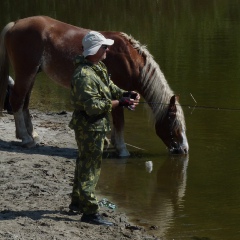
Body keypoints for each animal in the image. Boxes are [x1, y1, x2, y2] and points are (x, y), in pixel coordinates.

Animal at [0, 16, 189, 156]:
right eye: (174, 123)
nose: (184, 149)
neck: (128, 58)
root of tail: (15, 23)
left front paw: (111, 143)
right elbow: (119, 121)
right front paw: (122, 150)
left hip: (32, 74)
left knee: (24, 102)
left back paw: (30, 134)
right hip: (26, 72)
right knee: (17, 100)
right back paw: (26, 139)